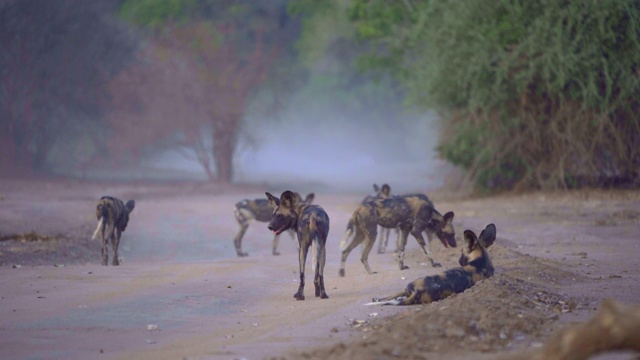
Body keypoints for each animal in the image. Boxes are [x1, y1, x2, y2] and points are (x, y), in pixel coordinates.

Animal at [364, 224, 496, 306]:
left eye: (461, 252)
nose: (459, 260)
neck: (481, 261)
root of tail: (419, 291)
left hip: (408, 286)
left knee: (392, 296)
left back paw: (378, 299)